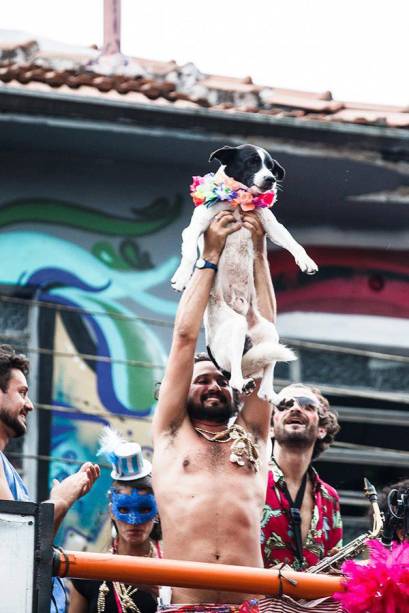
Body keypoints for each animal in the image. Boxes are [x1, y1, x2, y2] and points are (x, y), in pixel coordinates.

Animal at [171, 143, 318, 402]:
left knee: (265, 387)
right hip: (236, 328)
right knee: (233, 378)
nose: (270, 180)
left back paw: (275, 396)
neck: (239, 200)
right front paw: (181, 277)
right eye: (251, 162)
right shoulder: (195, 227)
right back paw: (242, 382)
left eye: (270, 166)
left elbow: (292, 242)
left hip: (270, 334)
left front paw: (306, 261)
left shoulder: (271, 225)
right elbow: (189, 253)